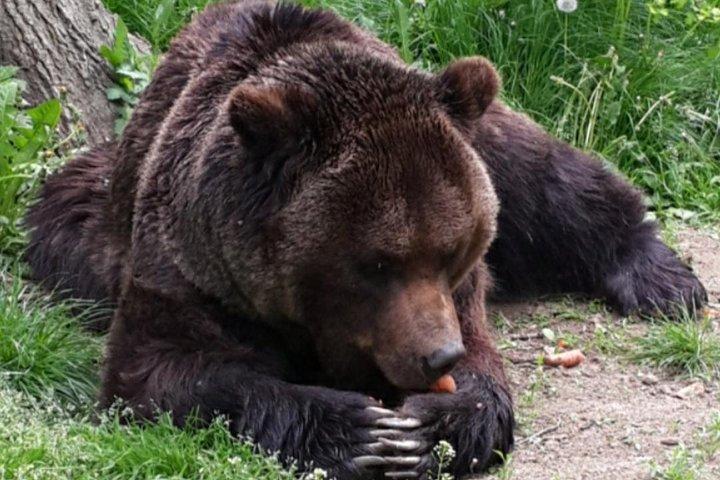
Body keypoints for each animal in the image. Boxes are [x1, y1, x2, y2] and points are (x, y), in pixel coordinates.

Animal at [24, 1, 706, 479]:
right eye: (377, 263)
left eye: (451, 250)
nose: (439, 357)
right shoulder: (191, 268)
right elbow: (162, 369)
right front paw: (361, 430)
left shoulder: (462, 293)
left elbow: (485, 378)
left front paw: (433, 426)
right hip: (88, 226)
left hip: (481, 131)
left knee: (546, 177)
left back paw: (663, 279)